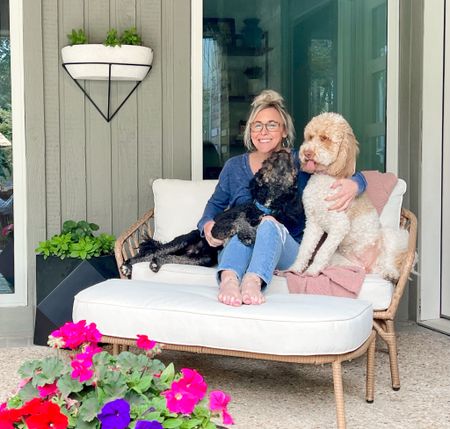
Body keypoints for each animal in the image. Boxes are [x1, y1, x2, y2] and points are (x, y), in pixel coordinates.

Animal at [121, 150, 300, 278]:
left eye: (293, 168)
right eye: (267, 161)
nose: (284, 151)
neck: (263, 207)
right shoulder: (218, 226)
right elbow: (238, 220)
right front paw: (247, 232)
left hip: (202, 259)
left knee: (165, 258)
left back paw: (155, 264)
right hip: (182, 241)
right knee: (153, 252)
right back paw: (127, 265)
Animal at [290, 110, 410, 280]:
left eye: (324, 138)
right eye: (310, 137)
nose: (306, 153)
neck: (324, 178)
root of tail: (368, 267)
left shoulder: (339, 225)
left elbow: (322, 252)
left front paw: (312, 271)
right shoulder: (313, 224)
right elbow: (305, 249)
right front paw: (295, 268)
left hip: (394, 236)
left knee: (389, 259)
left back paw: (390, 272)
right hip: (342, 260)